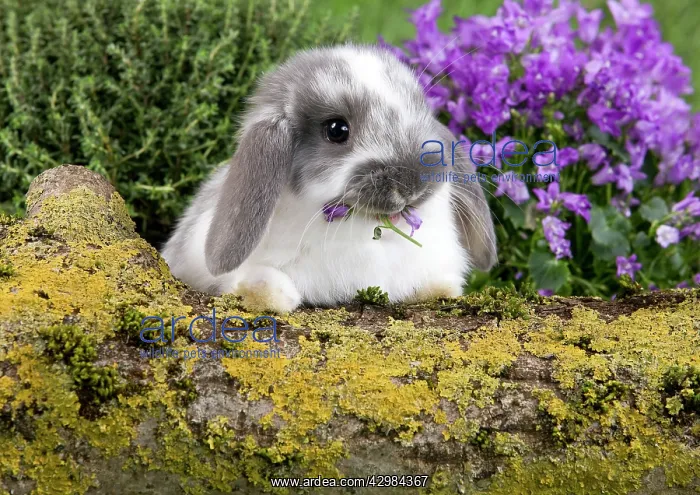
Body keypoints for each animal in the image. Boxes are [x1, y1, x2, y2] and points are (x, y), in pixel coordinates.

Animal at [160, 43, 497, 314]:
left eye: (422, 114)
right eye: (336, 130)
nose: (412, 185)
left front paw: (440, 289)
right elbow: (259, 281)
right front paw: (270, 295)